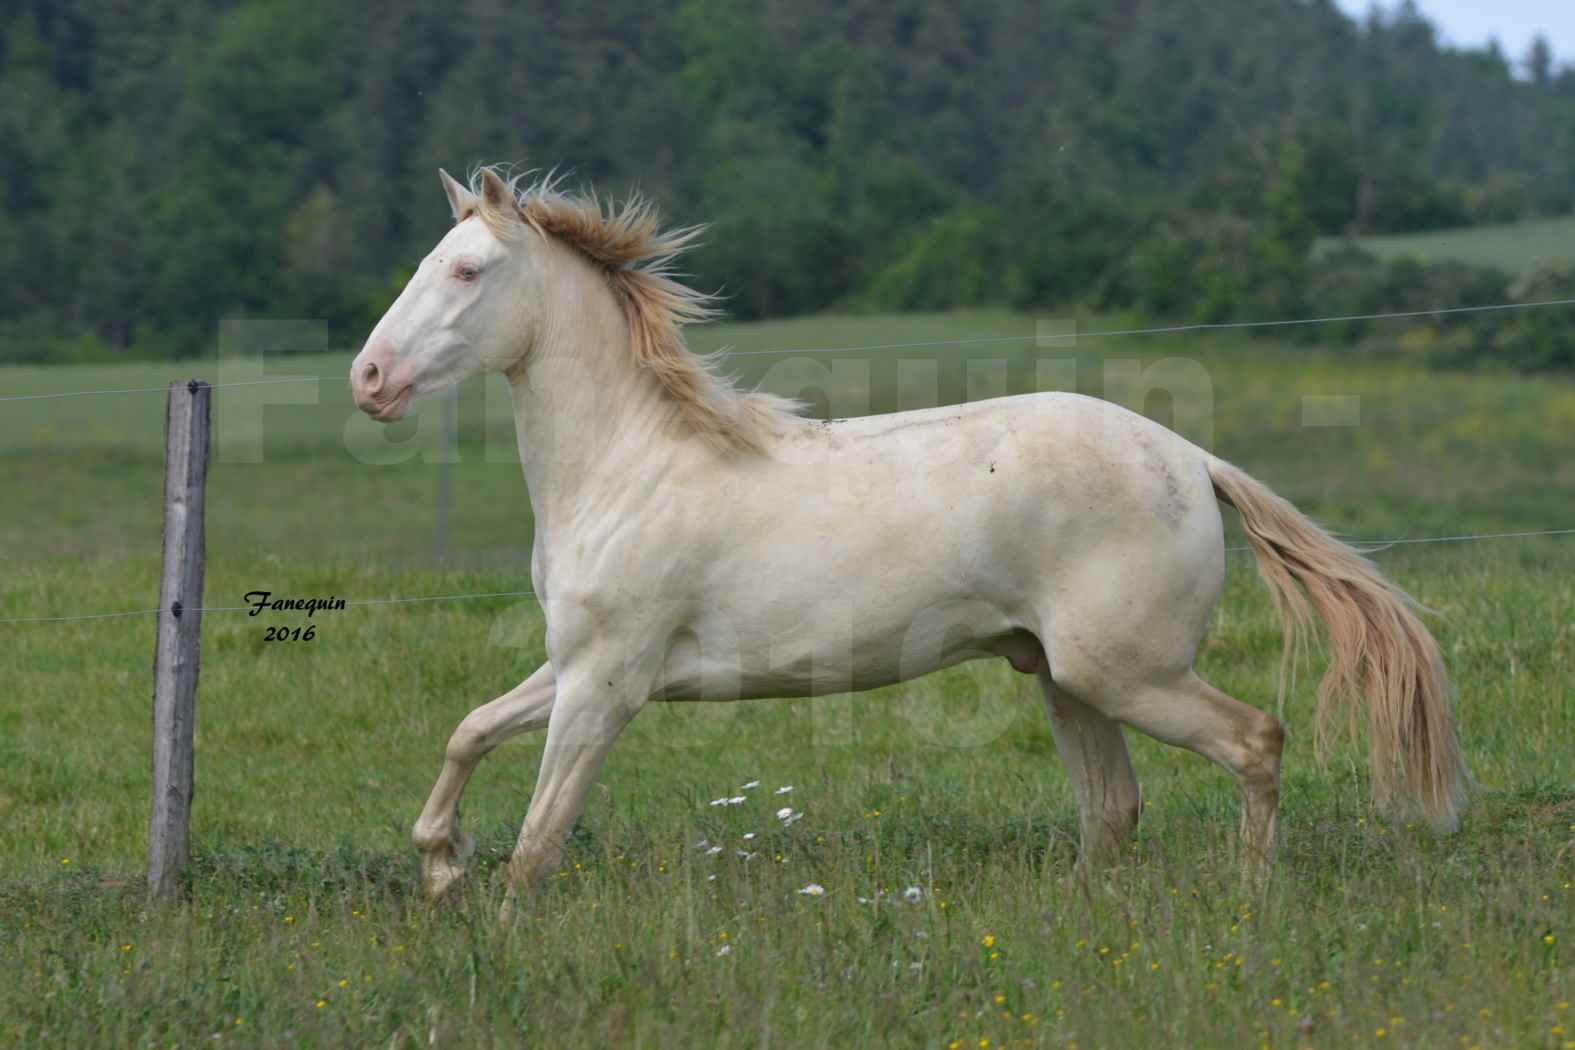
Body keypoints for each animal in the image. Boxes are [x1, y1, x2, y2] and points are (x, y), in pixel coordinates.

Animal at [351, 166, 1467, 906]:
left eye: (467, 271)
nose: (367, 381)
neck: (630, 465)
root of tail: (1192, 458)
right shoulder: (578, 663)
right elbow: (469, 731)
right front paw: (441, 865)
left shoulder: (608, 683)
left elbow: (540, 839)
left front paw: (493, 927)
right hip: (1064, 679)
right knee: (1113, 809)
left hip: (1125, 672)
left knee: (1253, 742)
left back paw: (1248, 901)